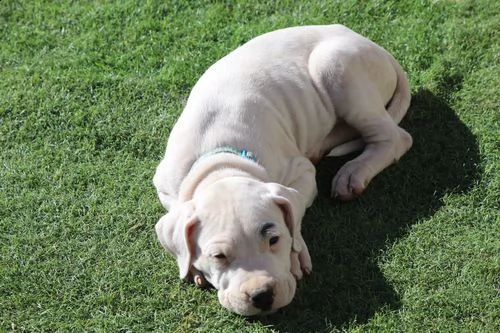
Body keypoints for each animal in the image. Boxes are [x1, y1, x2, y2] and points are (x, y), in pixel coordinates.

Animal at [154, 23, 412, 314]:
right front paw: (192, 266)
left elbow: (294, 215)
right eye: (218, 256)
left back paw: (354, 173)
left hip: (335, 67)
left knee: (395, 138)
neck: (222, 164)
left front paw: (295, 255)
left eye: (274, 239)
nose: (262, 296)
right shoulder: (165, 185)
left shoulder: (301, 172)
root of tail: (378, 48)